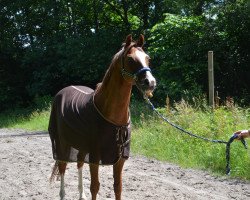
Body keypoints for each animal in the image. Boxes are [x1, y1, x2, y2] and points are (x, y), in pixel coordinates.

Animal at [47, 34, 155, 200]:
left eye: (147, 58)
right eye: (130, 59)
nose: (150, 82)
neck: (114, 118)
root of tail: (62, 91)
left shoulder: (119, 159)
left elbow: (118, 187)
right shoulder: (95, 158)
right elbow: (95, 187)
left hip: (81, 146)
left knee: (79, 163)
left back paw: (81, 194)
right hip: (62, 143)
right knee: (63, 167)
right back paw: (63, 195)